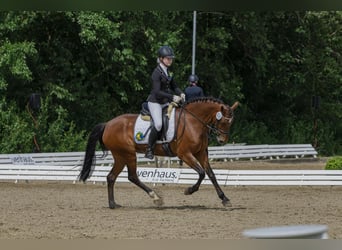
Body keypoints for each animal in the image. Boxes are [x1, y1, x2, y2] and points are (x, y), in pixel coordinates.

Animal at [79, 97, 239, 209]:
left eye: (231, 122)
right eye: (223, 121)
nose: (222, 140)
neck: (193, 122)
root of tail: (107, 124)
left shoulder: (201, 153)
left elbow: (211, 174)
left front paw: (225, 199)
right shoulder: (184, 154)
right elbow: (201, 173)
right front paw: (189, 190)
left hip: (120, 156)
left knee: (111, 177)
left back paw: (113, 204)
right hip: (128, 154)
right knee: (132, 176)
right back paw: (155, 197)